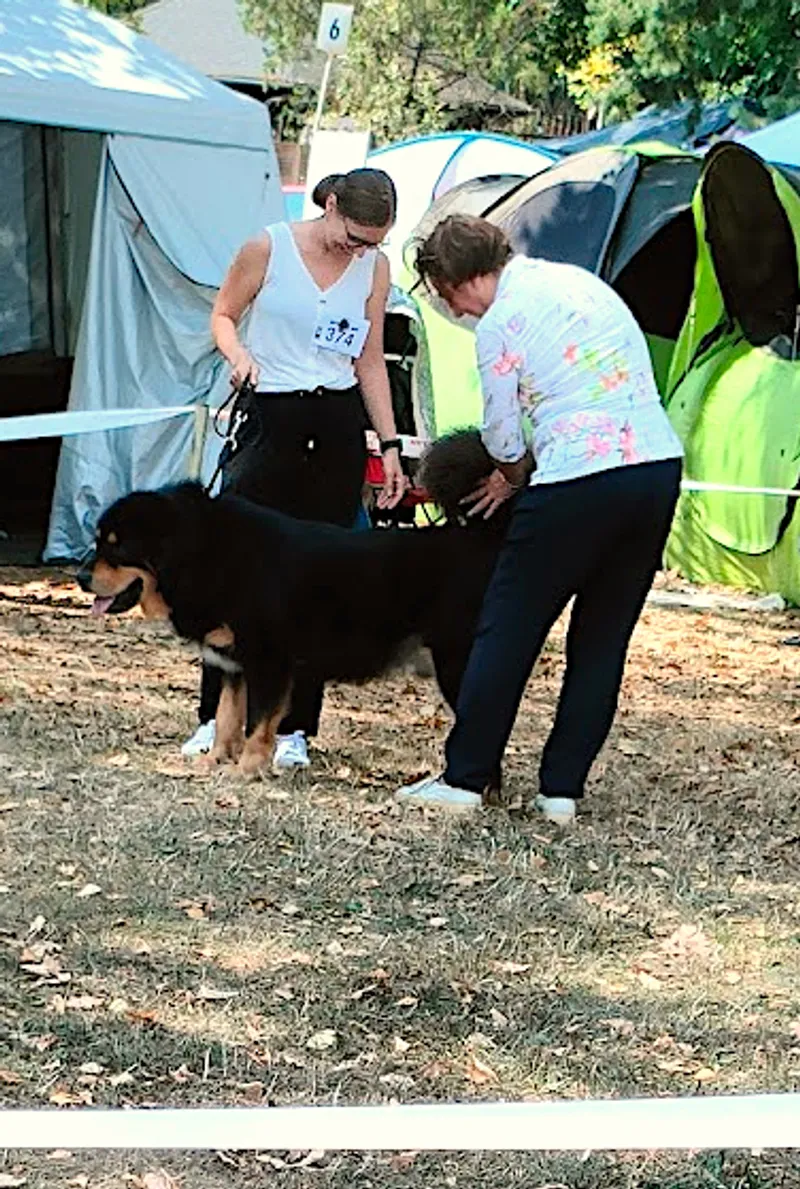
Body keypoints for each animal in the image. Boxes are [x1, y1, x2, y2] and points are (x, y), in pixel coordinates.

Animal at [78, 430, 509, 785]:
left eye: (117, 546)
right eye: (98, 539)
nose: (81, 577)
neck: (205, 554)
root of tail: (482, 536)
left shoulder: (268, 661)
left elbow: (257, 724)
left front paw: (247, 769)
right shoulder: (232, 664)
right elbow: (227, 719)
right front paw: (215, 762)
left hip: (457, 663)